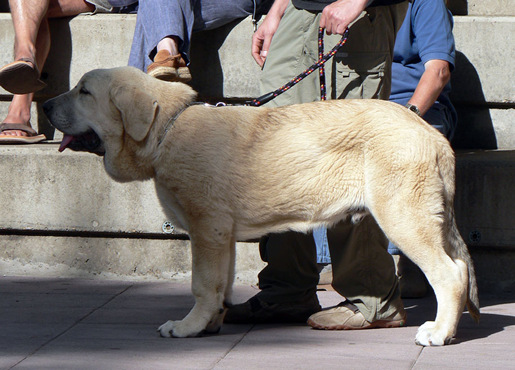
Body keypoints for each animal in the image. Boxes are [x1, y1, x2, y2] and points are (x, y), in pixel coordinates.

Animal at [43, 67, 480, 346]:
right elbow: (219, 284)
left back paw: (439, 333)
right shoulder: (221, 235)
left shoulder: (206, 228)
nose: (45, 105)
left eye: (84, 91)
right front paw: (210, 324)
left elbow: (201, 283)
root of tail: (433, 135)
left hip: (405, 216)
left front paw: (186, 327)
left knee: (451, 273)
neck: (166, 129)